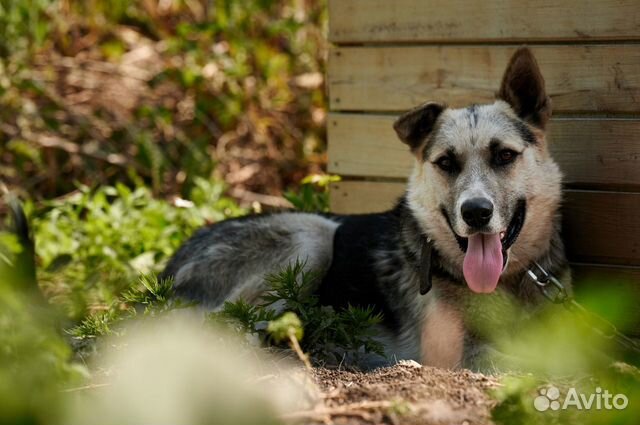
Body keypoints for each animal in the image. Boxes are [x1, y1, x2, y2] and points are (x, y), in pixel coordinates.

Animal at [160, 46, 568, 370]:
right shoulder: (461, 353)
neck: (507, 282)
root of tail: (169, 268)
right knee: (224, 329)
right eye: (446, 163)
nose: (476, 213)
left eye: (504, 155)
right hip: (311, 235)